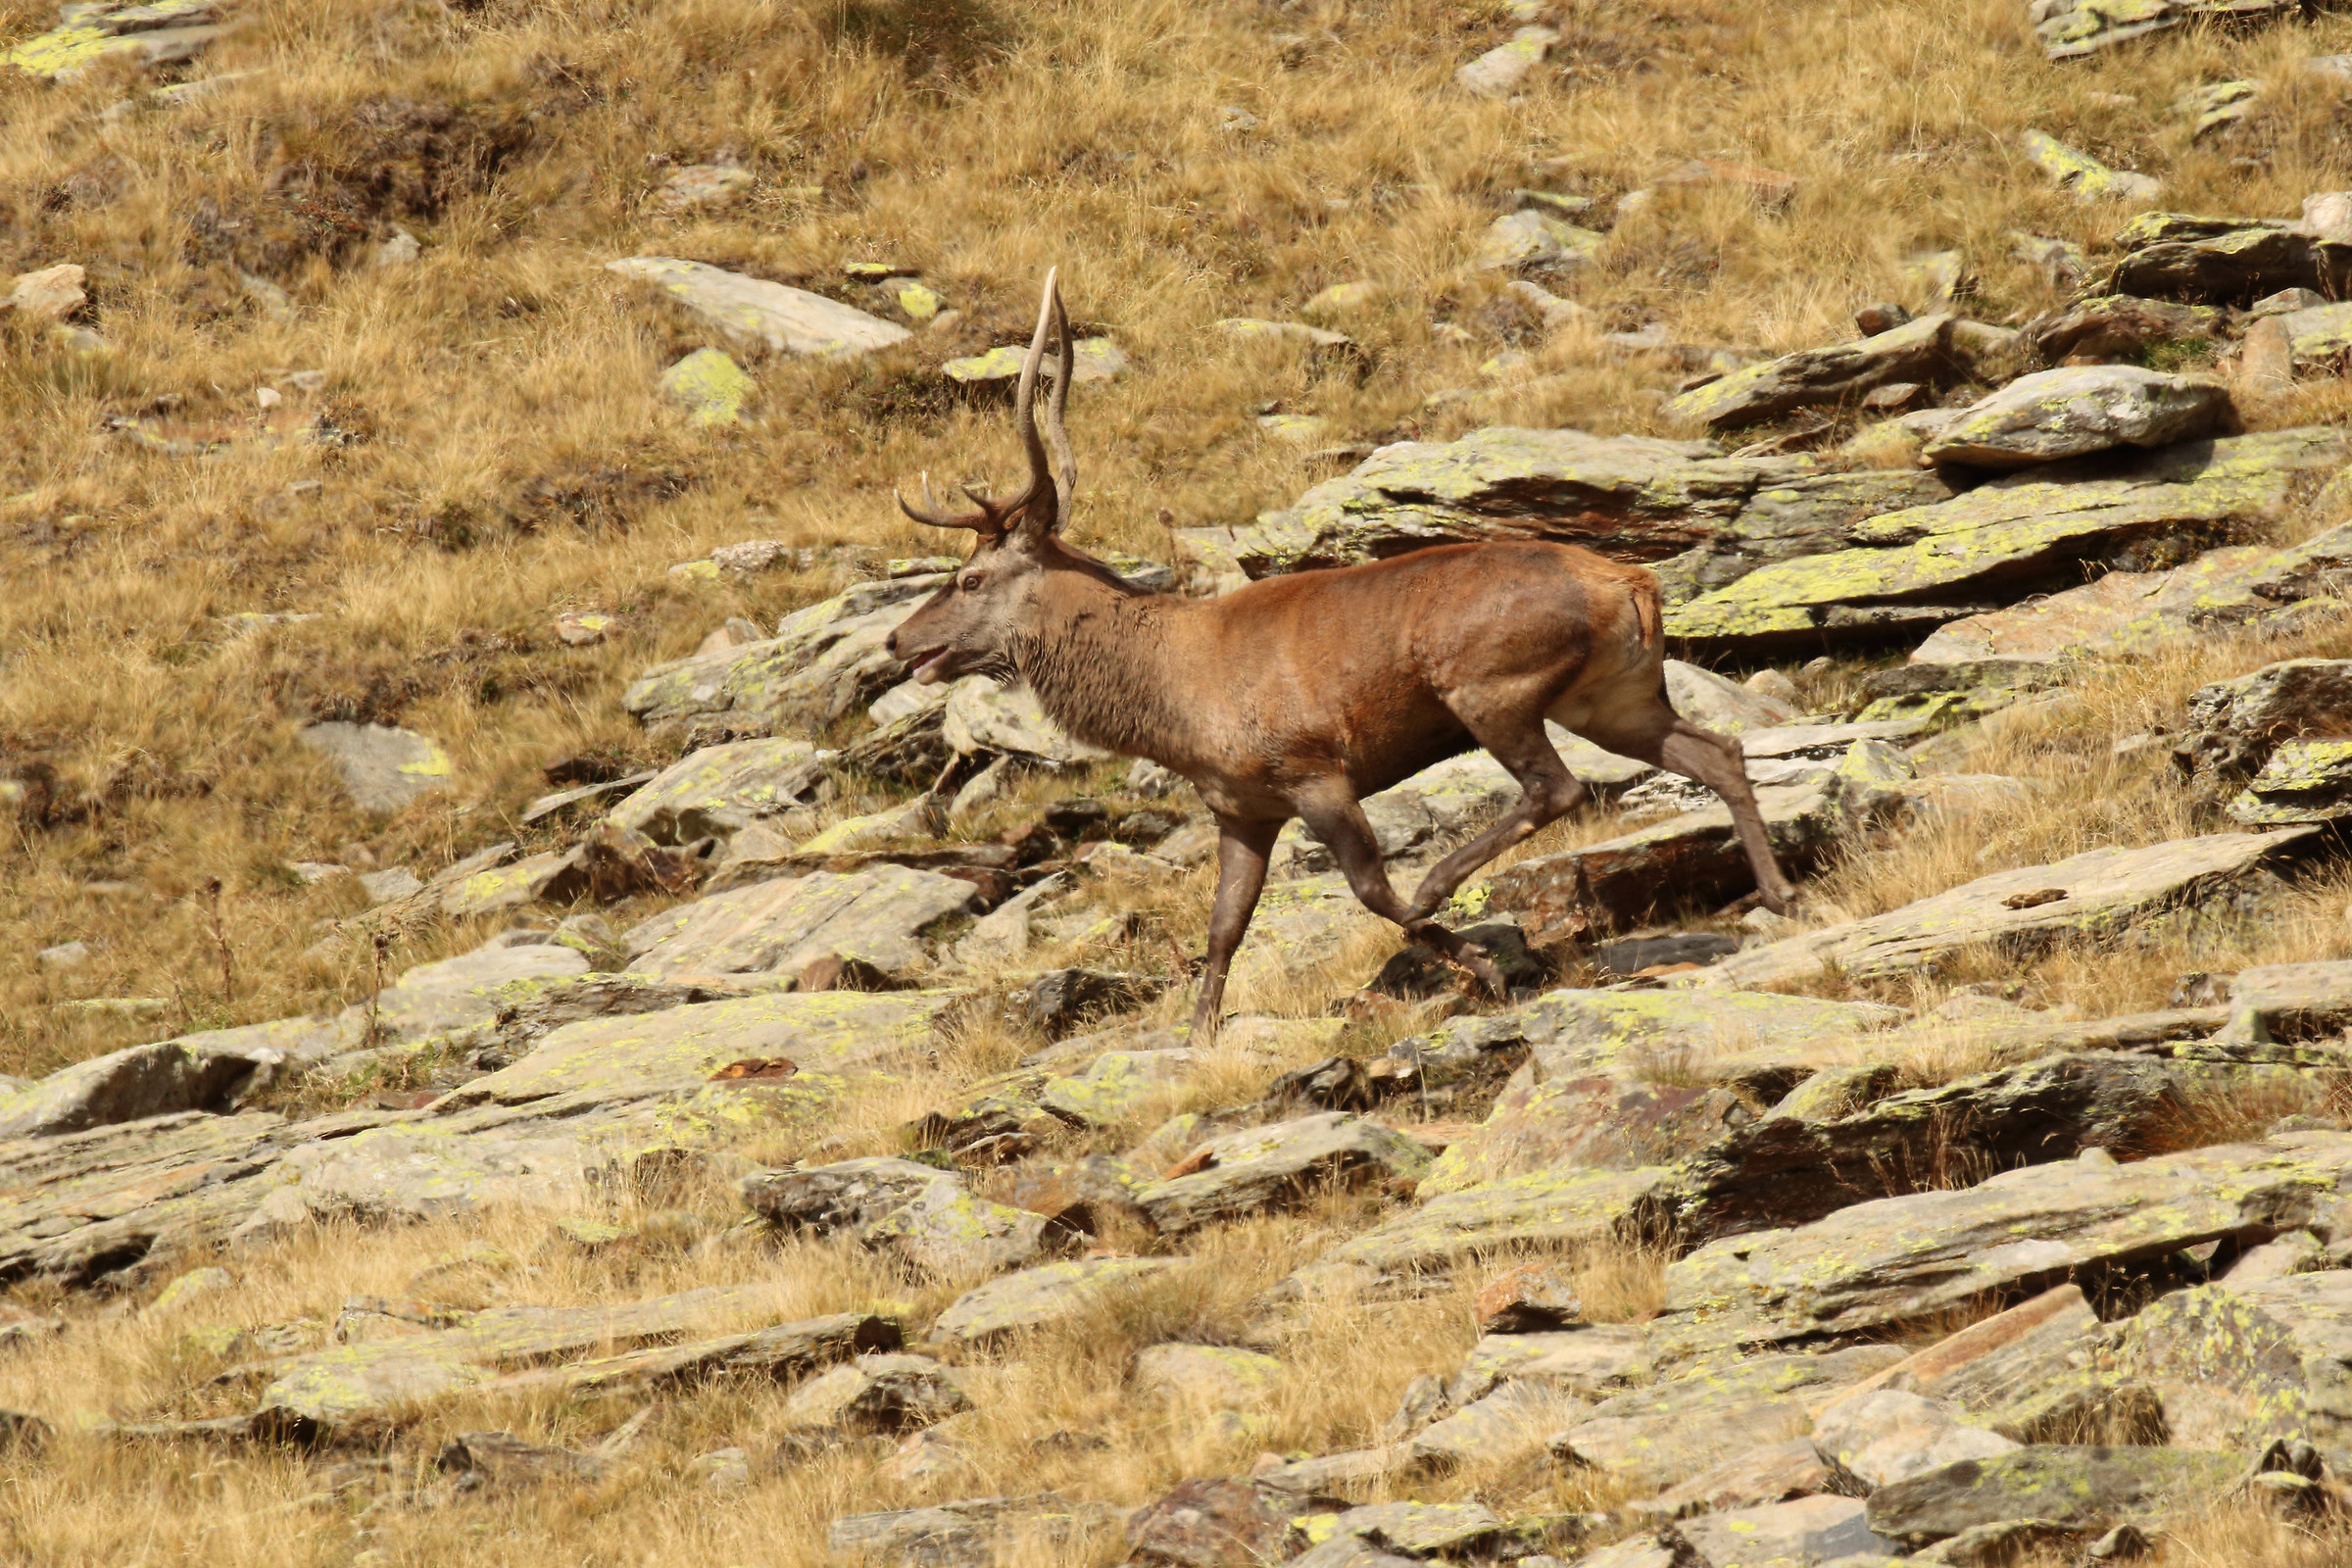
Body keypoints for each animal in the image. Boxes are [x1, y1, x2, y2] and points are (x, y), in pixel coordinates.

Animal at [886, 270, 1797, 1040]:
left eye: (968, 578)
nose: (899, 640)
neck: (1173, 704)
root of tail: (1633, 583)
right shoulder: (1241, 807)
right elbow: (1224, 928)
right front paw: (1199, 1037)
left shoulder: (1312, 768)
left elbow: (1368, 889)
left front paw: (1480, 961)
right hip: (1614, 694)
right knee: (1717, 749)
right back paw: (1780, 892)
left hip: (1493, 686)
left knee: (1558, 787)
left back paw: (1445, 884)